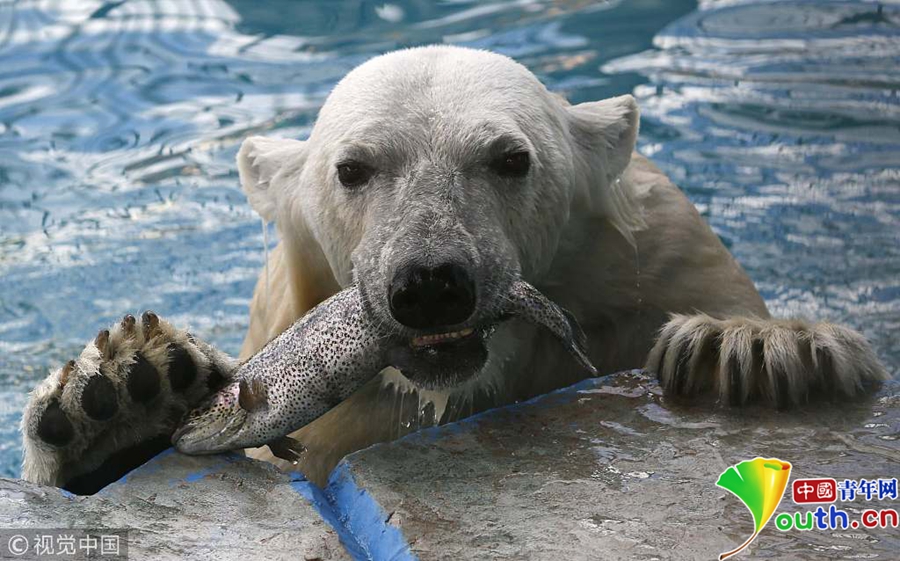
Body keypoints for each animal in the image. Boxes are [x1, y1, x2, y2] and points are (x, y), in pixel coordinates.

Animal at [21, 44, 884, 490]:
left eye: (510, 158)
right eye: (353, 168)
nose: (430, 283)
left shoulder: (660, 261)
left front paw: (757, 348)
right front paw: (123, 395)